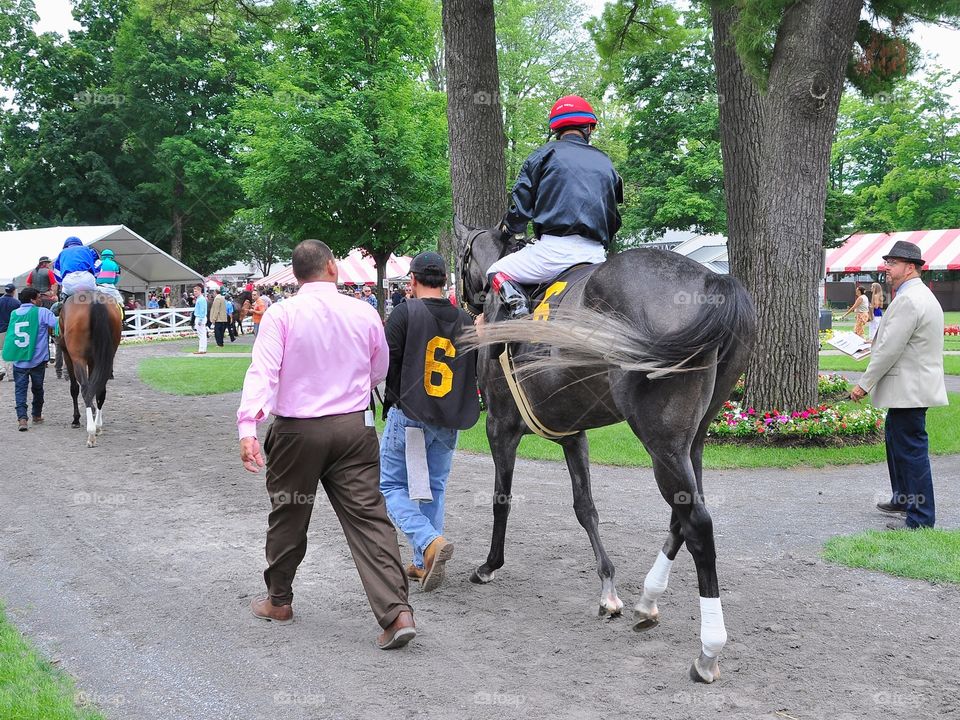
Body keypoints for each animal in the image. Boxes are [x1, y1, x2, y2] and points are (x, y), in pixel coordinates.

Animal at [58, 290, 123, 448]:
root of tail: (95, 301)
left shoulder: (68, 356)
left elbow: (74, 389)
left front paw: (76, 419)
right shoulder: (94, 360)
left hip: (78, 360)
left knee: (85, 389)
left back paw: (91, 432)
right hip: (105, 357)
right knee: (100, 390)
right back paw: (98, 426)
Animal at [458, 221, 756, 688]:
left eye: (461, 256)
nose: (463, 298)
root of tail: (713, 281)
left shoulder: (500, 427)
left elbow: (500, 501)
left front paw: (489, 565)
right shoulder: (572, 434)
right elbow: (586, 508)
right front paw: (609, 590)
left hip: (661, 442)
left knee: (697, 524)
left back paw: (708, 651)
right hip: (692, 440)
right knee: (683, 515)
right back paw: (647, 600)